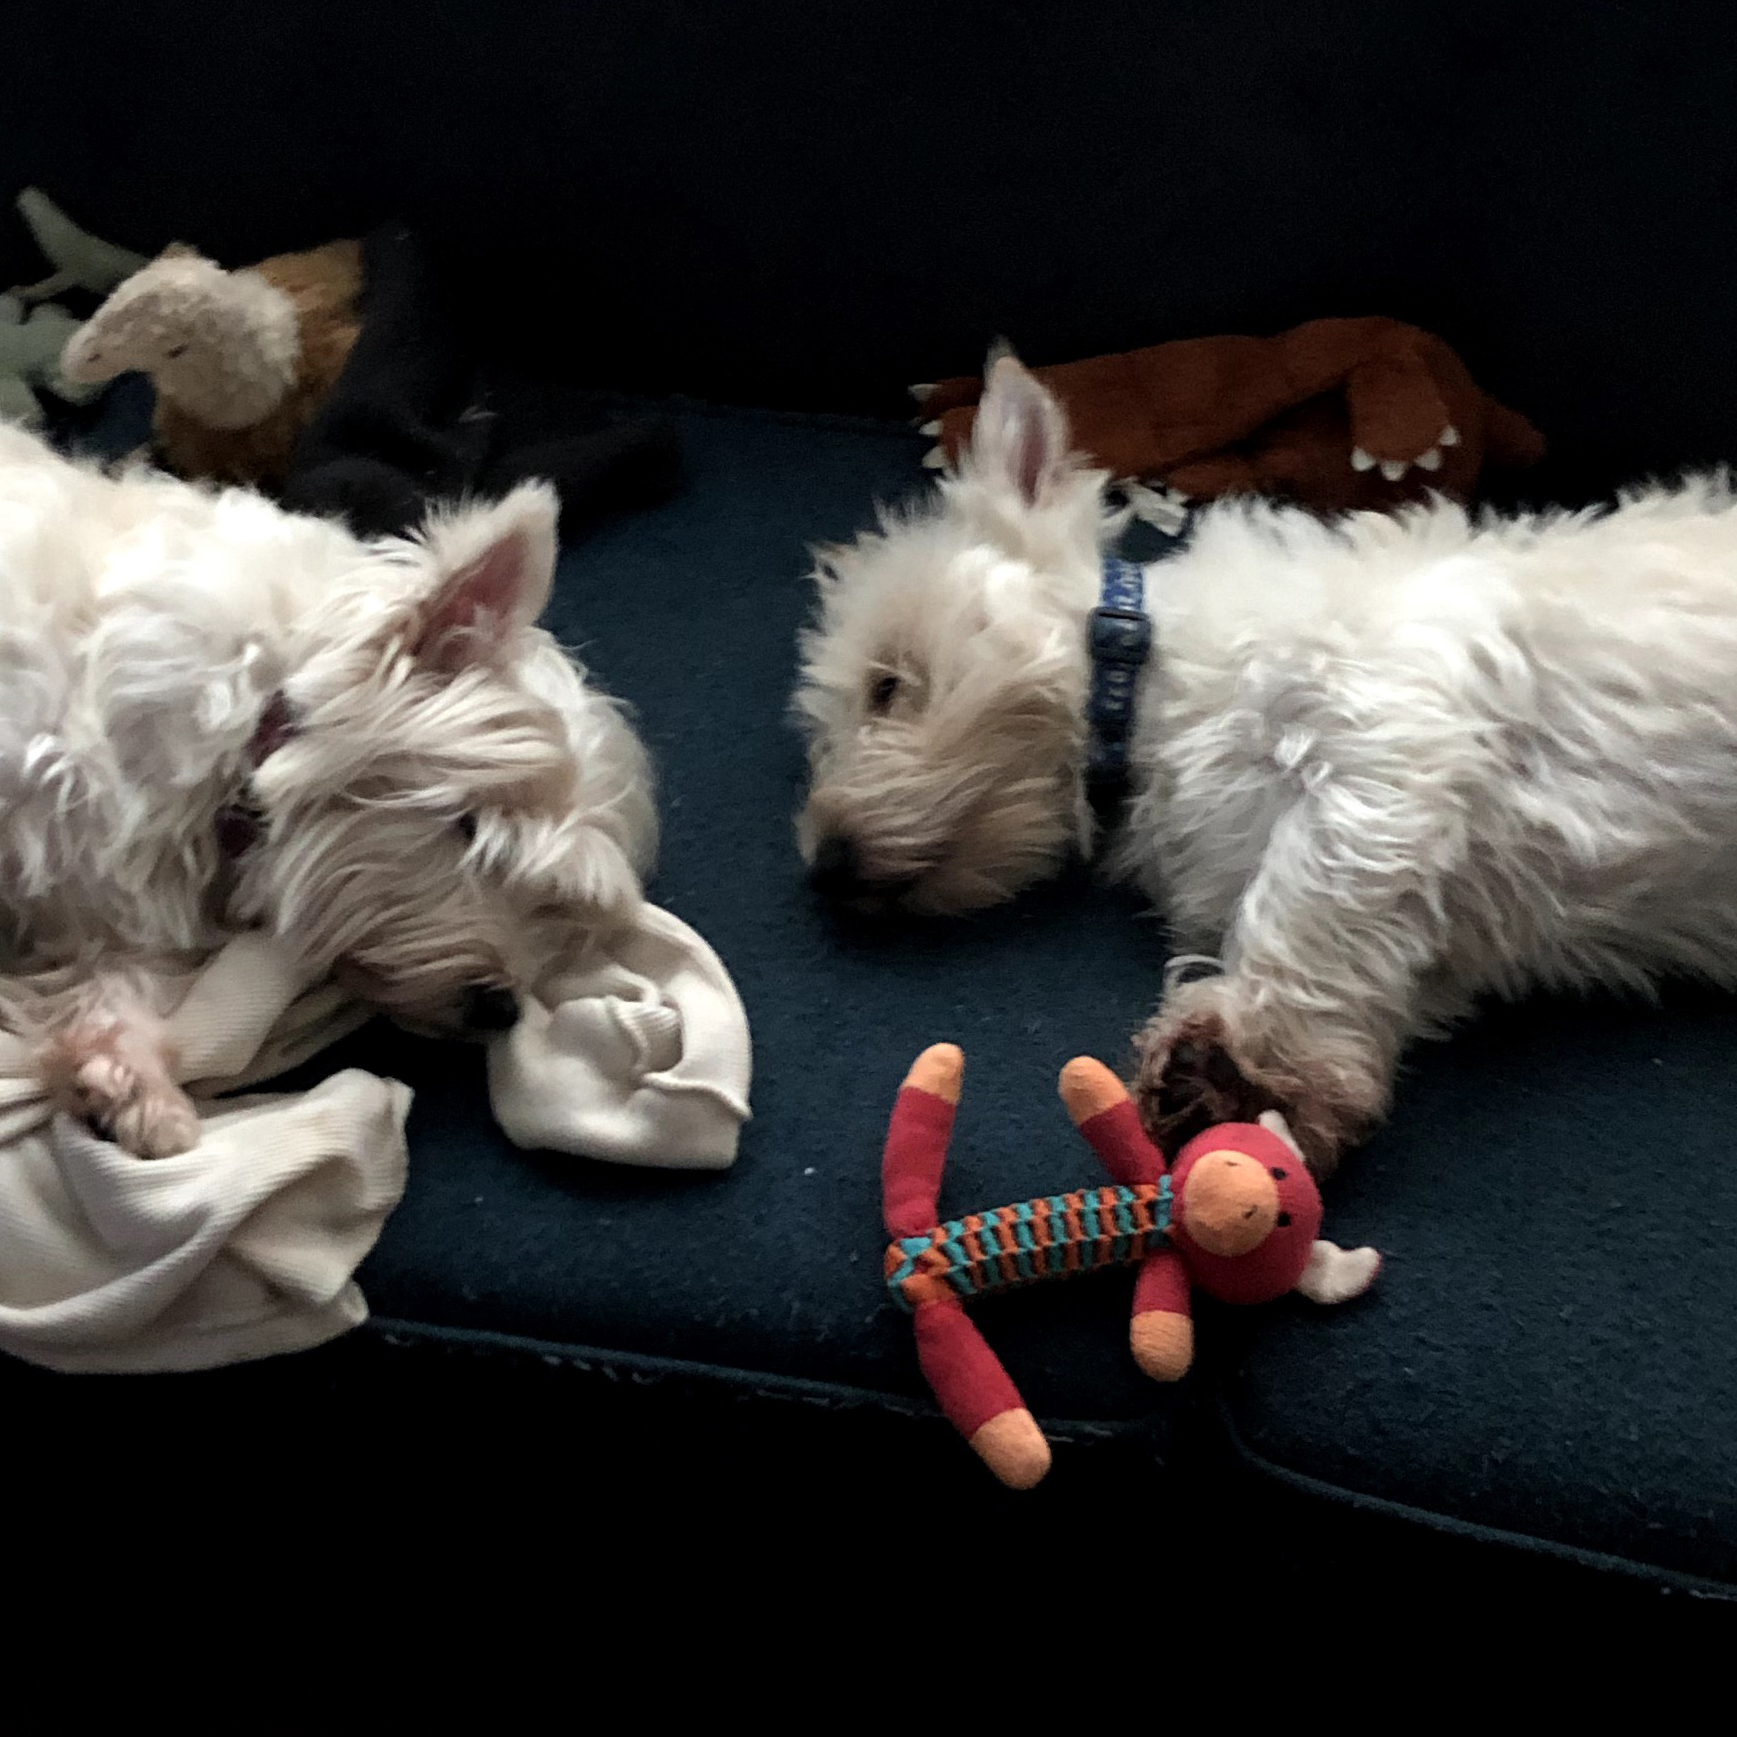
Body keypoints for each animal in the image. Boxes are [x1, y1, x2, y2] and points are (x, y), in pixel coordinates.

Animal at [793, 349, 1737, 1173]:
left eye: (886, 684)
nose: (827, 867)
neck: (1145, 690)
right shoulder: (1440, 918)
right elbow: (1367, 962)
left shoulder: (1382, 729)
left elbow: (1305, 895)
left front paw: (1239, 1056)